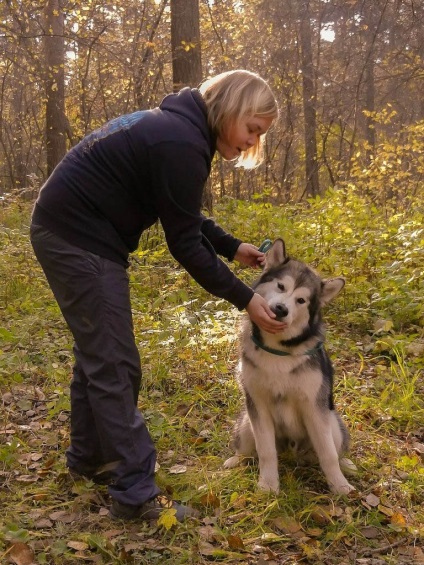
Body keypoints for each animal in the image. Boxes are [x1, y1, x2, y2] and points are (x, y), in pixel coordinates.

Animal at [224, 238, 356, 494]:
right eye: (281, 287)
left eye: (301, 300)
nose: (281, 309)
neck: (279, 350)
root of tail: (291, 452)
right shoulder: (258, 404)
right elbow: (266, 451)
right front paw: (268, 485)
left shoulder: (314, 407)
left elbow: (328, 454)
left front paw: (339, 486)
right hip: (246, 423)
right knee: (248, 450)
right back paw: (236, 460)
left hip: (332, 422)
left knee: (335, 450)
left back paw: (346, 465)